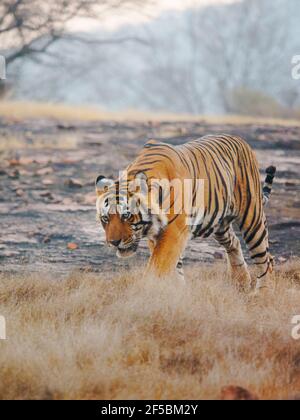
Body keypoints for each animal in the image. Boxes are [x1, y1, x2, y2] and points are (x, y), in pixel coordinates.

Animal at [95, 135, 276, 292]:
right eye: (105, 218)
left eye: (126, 215)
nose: (113, 242)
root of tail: (239, 139)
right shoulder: (157, 234)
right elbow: (174, 268)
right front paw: (177, 293)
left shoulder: (174, 231)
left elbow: (157, 266)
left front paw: (145, 291)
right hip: (219, 224)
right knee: (235, 244)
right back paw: (242, 283)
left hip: (252, 218)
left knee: (265, 258)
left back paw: (262, 294)